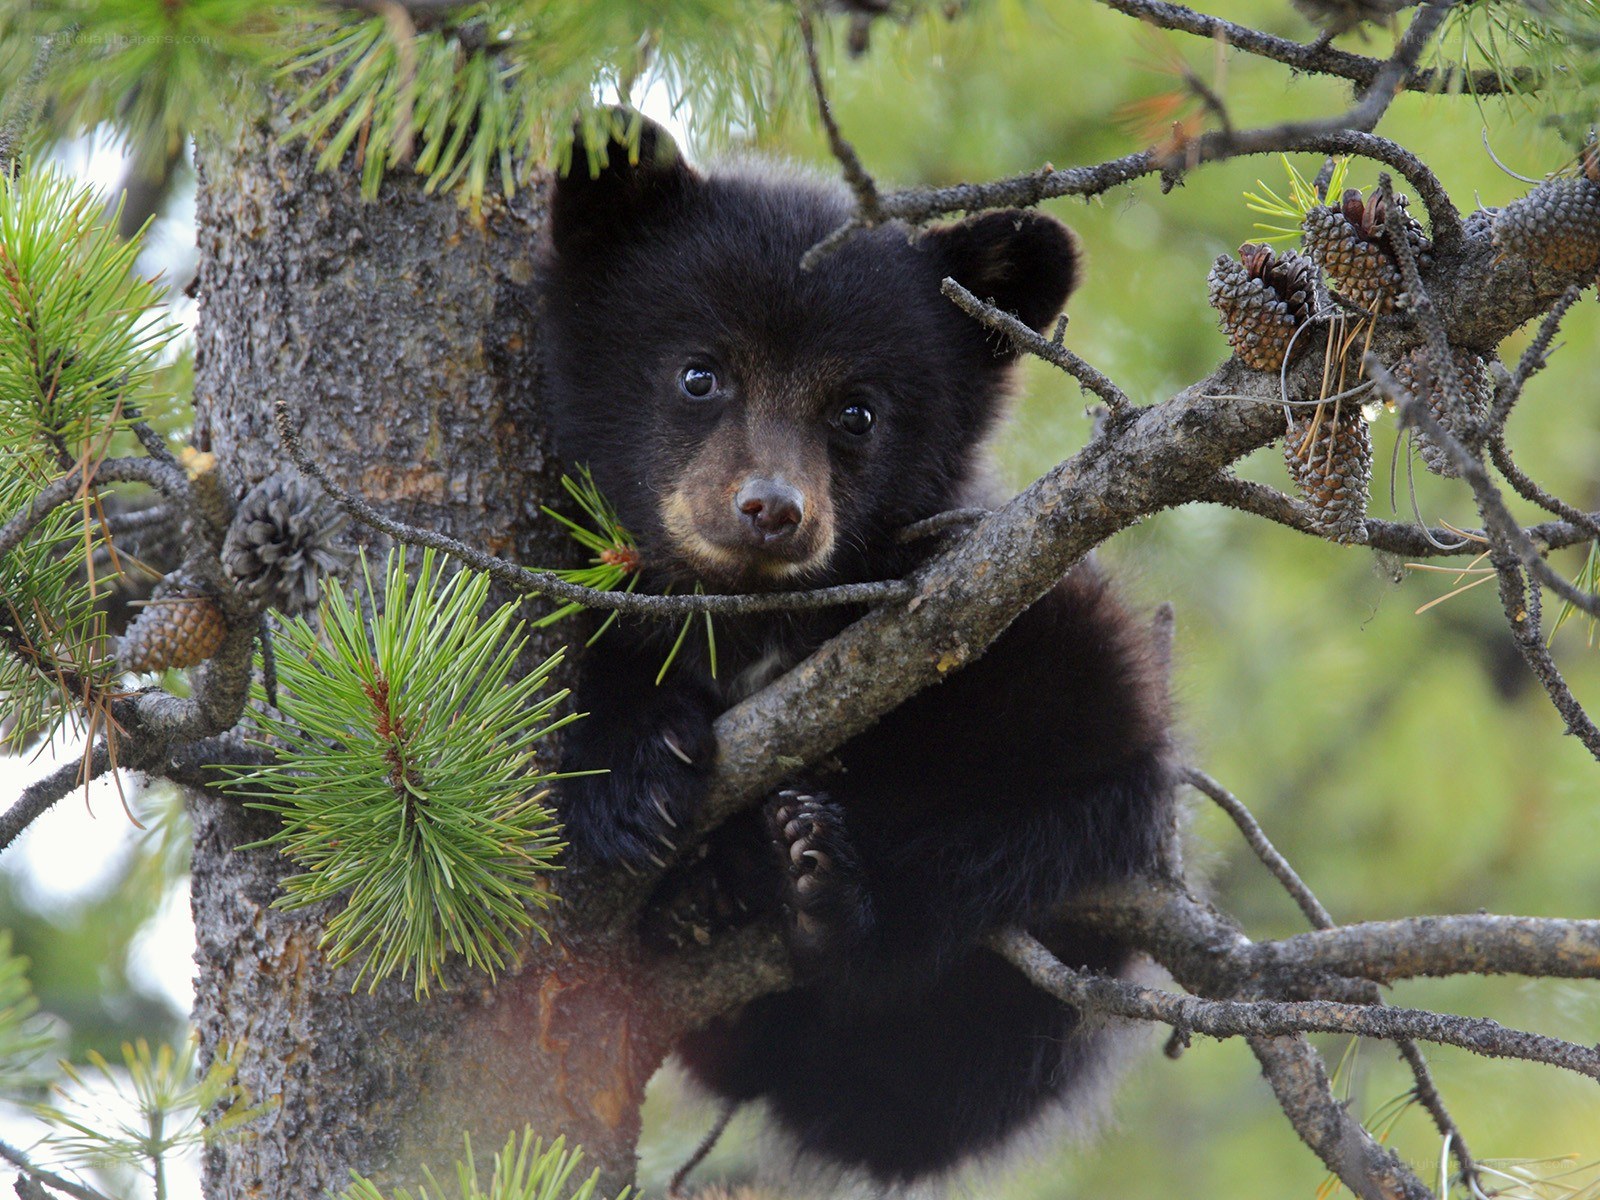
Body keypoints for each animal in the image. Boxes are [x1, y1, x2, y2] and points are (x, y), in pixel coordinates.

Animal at [536, 113, 1177, 1186]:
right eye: (700, 372)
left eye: (857, 410)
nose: (771, 509)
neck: (757, 617)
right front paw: (629, 770)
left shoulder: (1016, 605)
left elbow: (1086, 778)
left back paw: (817, 884)